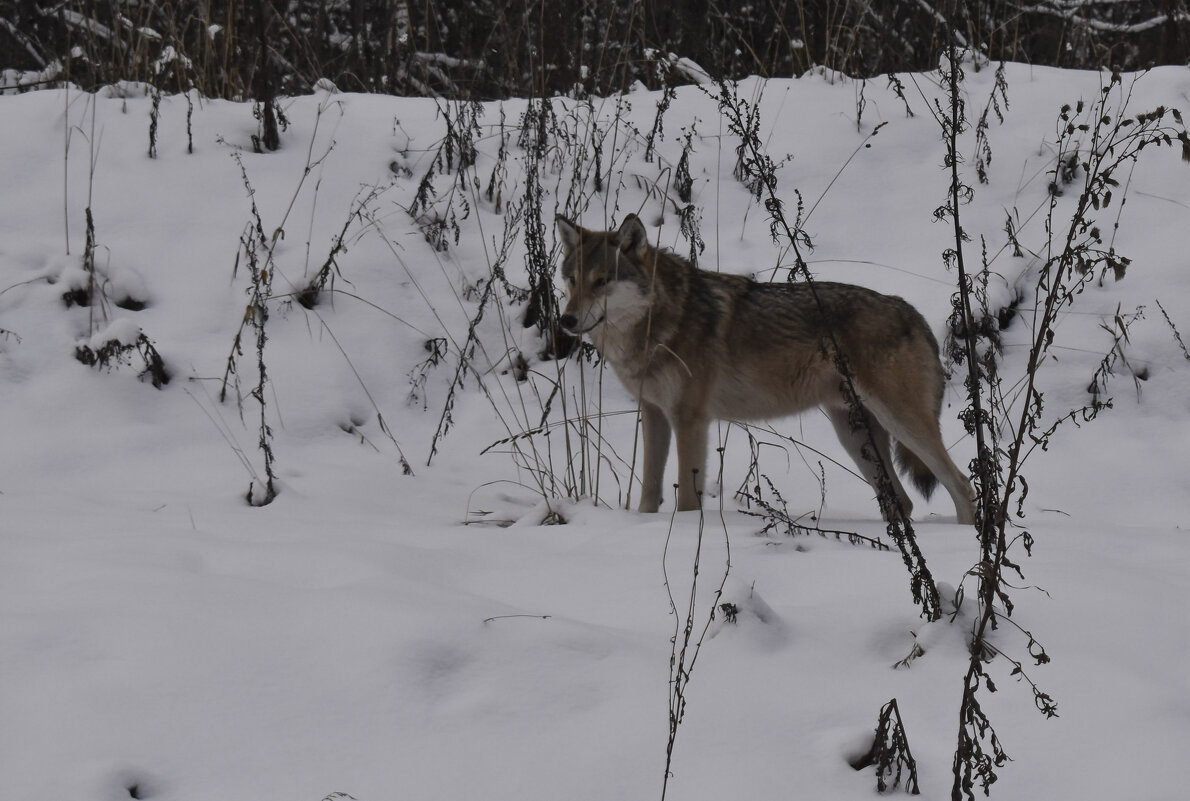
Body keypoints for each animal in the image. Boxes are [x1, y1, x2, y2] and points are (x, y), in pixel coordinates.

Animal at [556, 214, 975, 523]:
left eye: (602, 282)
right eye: (572, 280)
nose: (566, 321)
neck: (656, 325)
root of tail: (912, 312)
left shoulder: (691, 420)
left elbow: (688, 500)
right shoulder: (654, 413)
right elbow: (648, 494)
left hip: (900, 423)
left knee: (962, 485)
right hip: (854, 436)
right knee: (902, 501)